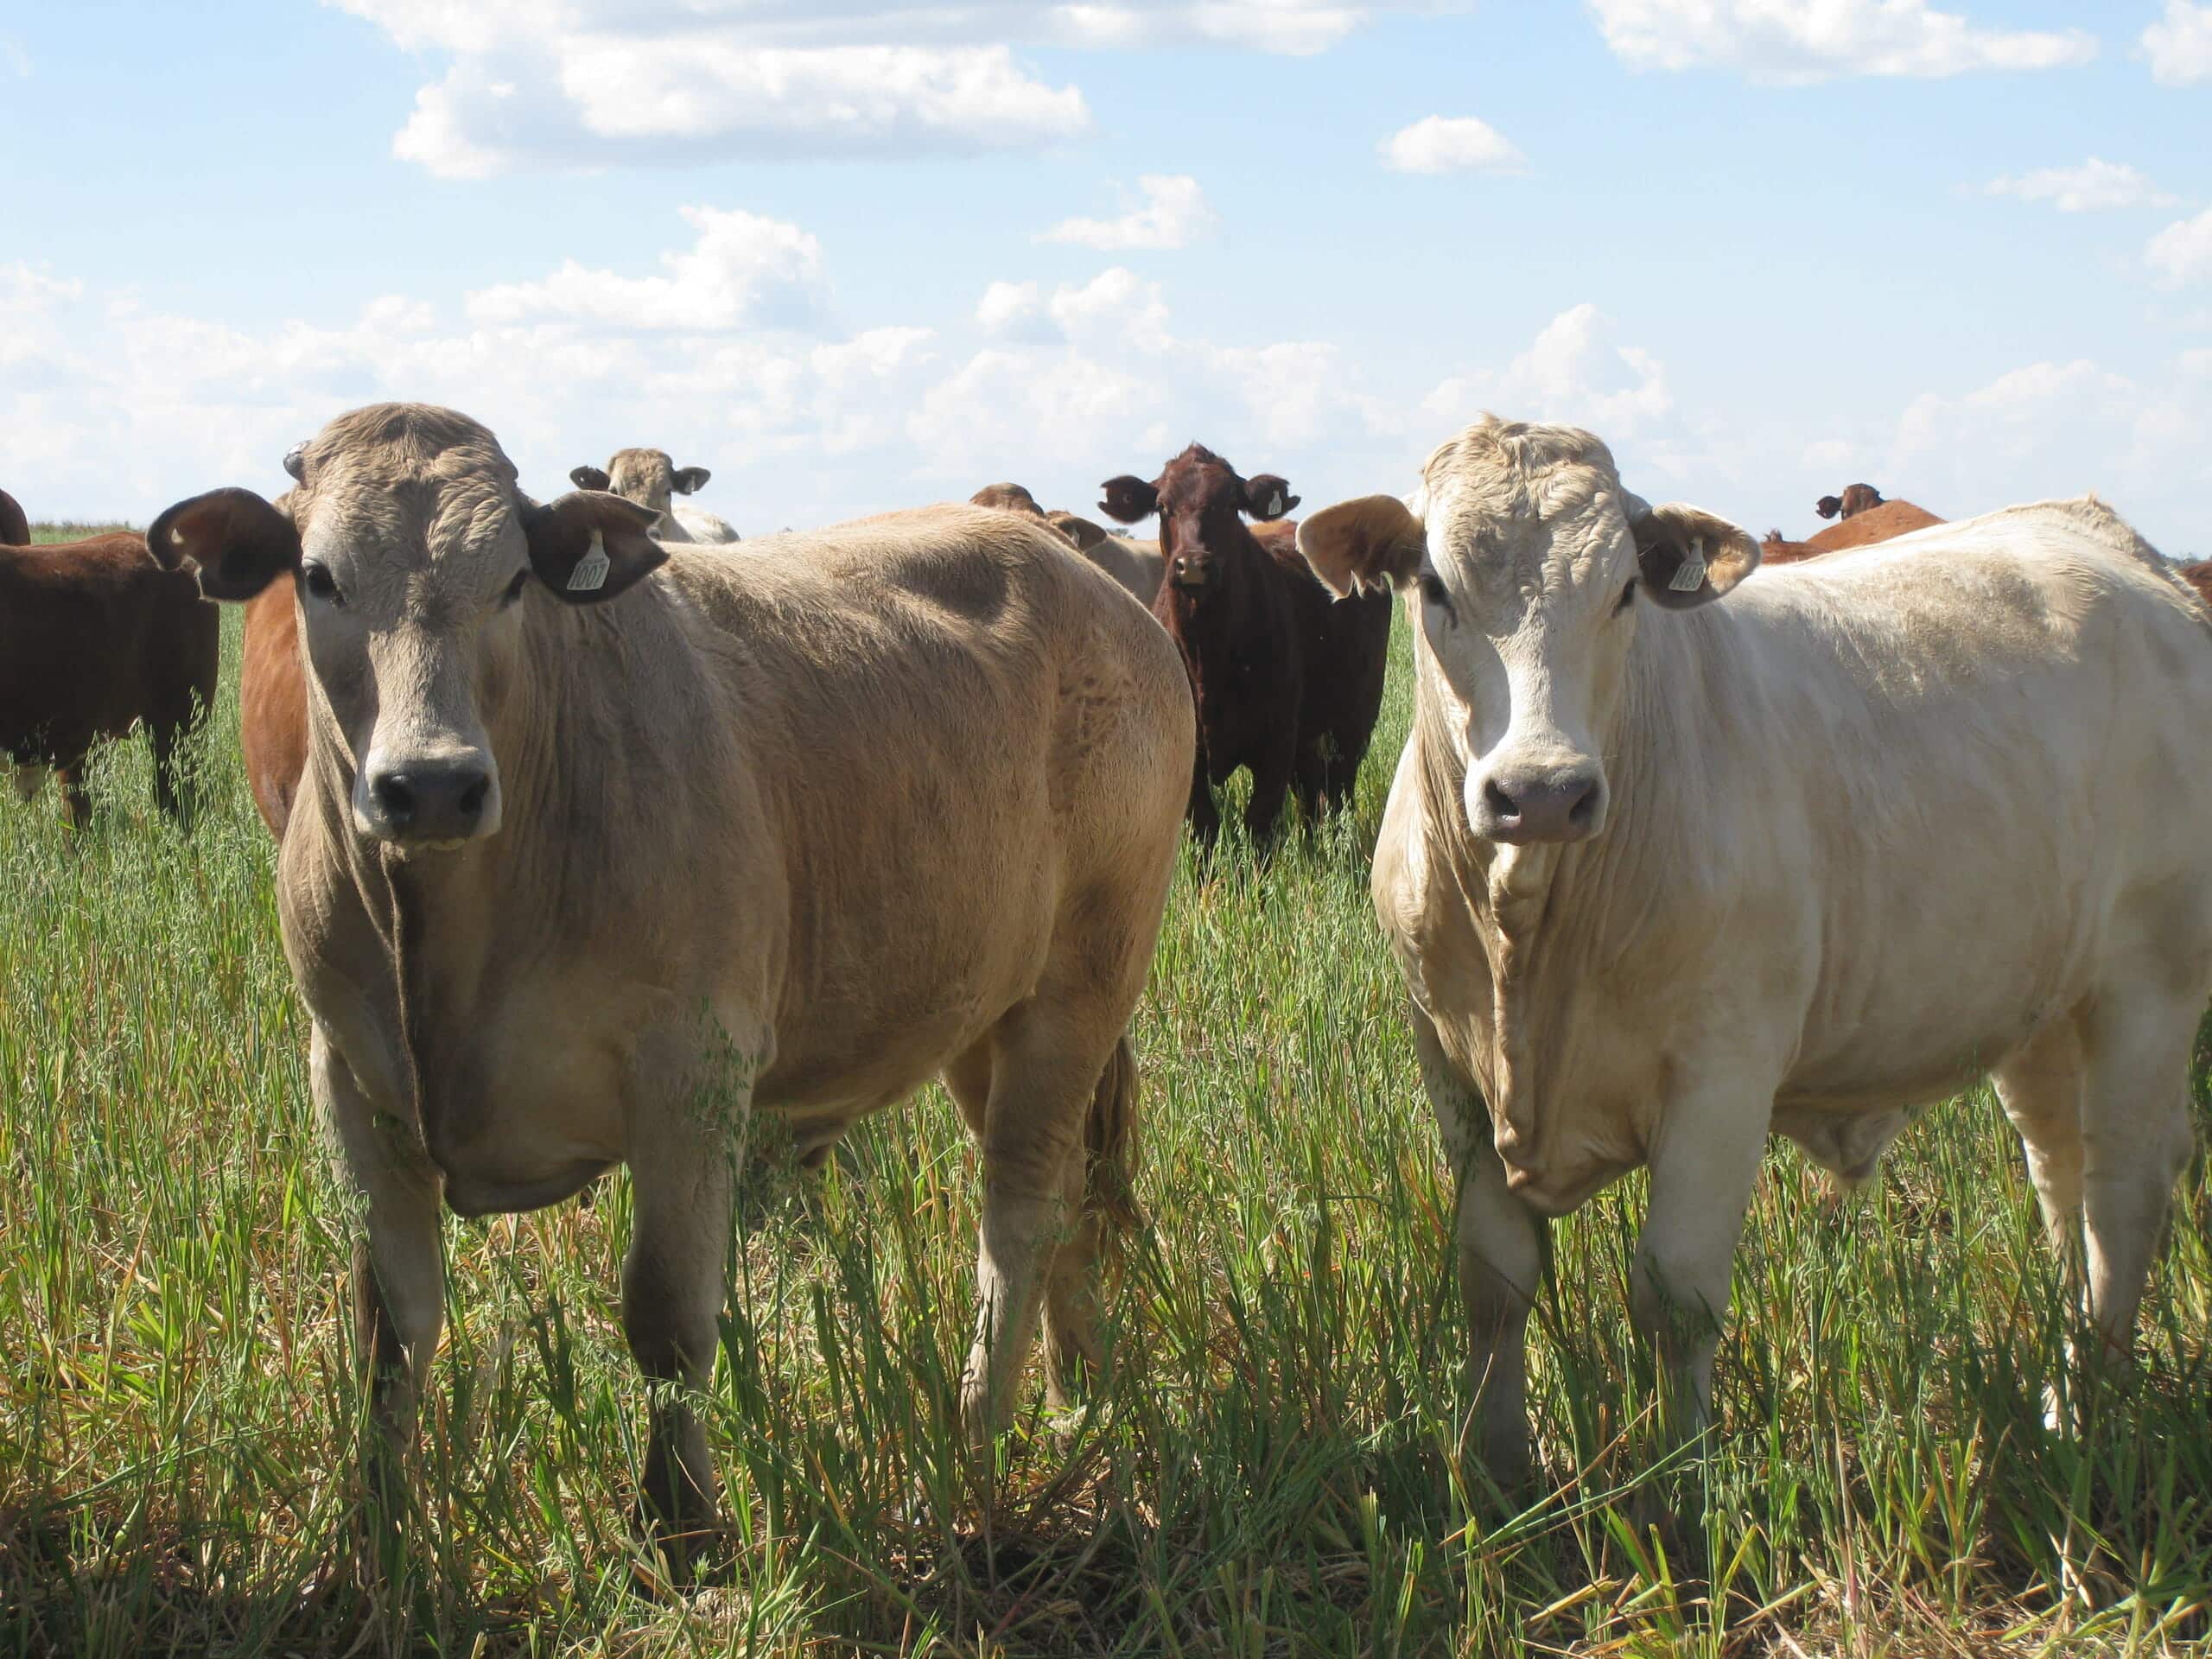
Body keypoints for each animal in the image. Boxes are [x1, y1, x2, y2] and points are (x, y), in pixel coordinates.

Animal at [1099, 444, 1392, 849]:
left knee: (1338, 790)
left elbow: (1260, 826)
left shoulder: (1276, 744)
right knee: (1312, 791)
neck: (1208, 652)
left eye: (1229, 504)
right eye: (1162, 505)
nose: (1193, 564)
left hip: (1355, 719)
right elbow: (1204, 826)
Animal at [1298, 415, 2212, 1492]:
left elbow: (1675, 1300)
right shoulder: (1450, 1065)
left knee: (2123, 1193)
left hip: (2148, 989)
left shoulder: (1721, 1076)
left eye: (1623, 590)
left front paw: (1678, 1490)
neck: (1527, 930)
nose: (1543, 792)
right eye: (1435, 588)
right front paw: (1498, 1470)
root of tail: (2110, 542)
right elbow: (1493, 1282)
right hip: (2041, 1012)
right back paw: (2063, 1401)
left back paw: (2094, 1410)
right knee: (2061, 1180)